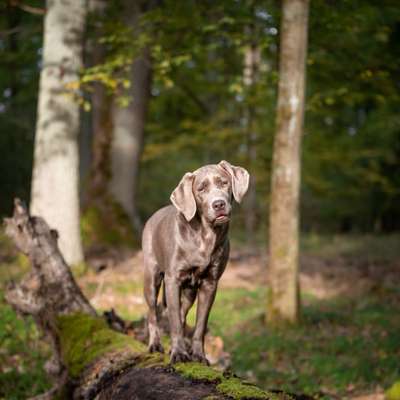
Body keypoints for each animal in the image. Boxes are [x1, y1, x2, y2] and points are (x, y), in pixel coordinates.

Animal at [142, 161, 248, 364]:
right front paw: (178, 353)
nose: (219, 204)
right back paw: (155, 344)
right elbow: (174, 321)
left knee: (182, 314)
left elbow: (200, 324)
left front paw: (198, 355)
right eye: (201, 189)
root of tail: (153, 216)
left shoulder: (210, 283)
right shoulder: (173, 280)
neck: (205, 236)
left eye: (224, 183)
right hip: (152, 277)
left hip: (189, 291)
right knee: (153, 313)